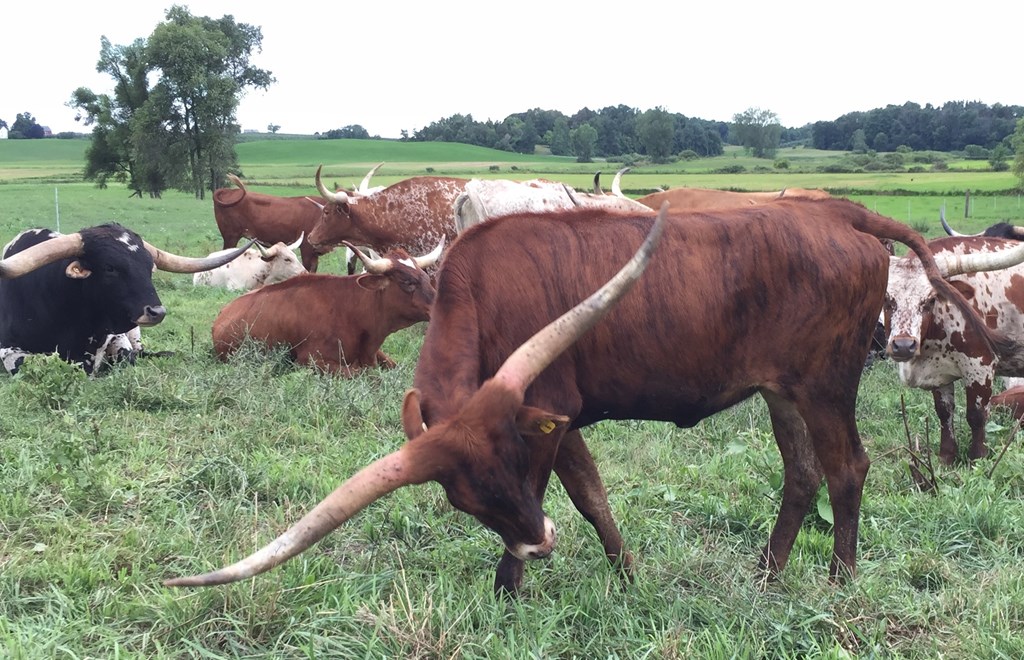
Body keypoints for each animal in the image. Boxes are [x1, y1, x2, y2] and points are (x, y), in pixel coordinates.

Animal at [0, 224, 252, 375]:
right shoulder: (9, 352)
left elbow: (127, 358)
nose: (157, 312)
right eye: (109, 268)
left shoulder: (118, 339)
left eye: (149, 267)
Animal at [885, 232, 1024, 463]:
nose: (903, 346)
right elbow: (944, 412)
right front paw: (947, 457)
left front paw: (977, 457)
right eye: (887, 299)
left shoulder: (980, 365)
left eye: (930, 300)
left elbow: (976, 415)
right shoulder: (938, 371)